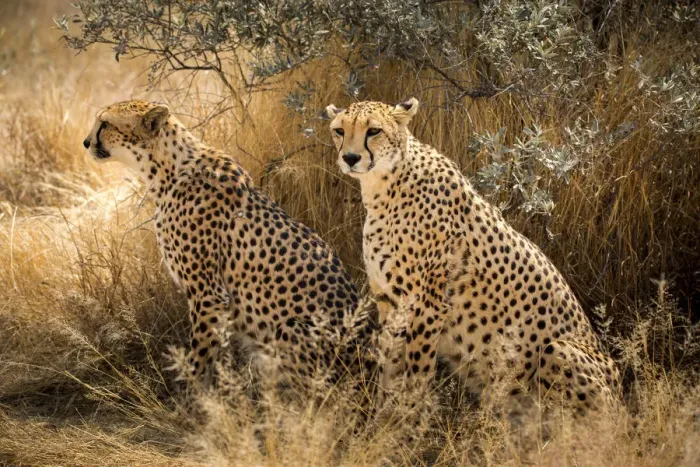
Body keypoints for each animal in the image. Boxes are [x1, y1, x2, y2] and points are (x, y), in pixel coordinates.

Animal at [82, 100, 376, 392]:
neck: (166, 169)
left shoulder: (209, 295)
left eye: (105, 123)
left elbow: (199, 363)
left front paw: (193, 401)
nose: (85, 142)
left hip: (292, 330)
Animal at [326, 98, 620, 412]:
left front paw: (409, 417)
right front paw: (384, 414)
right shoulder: (389, 301)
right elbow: (389, 364)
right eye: (340, 131)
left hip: (558, 350)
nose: (350, 158)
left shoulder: (427, 304)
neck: (384, 186)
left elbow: (417, 371)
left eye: (374, 131)